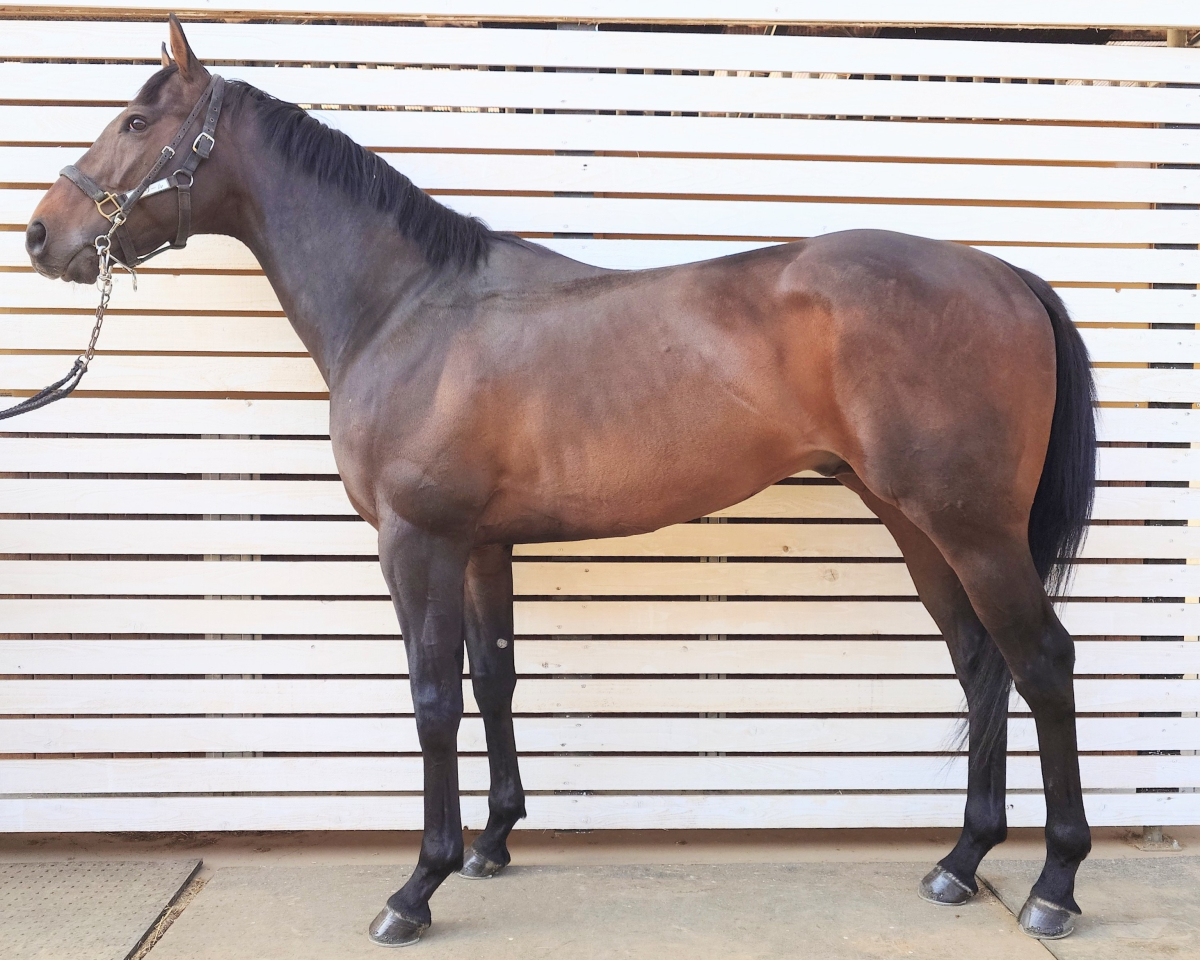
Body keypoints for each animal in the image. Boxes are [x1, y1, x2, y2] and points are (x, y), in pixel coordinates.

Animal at [25, 16, 1096, 946]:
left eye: (135, 122)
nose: (41, 235)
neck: (408, 308)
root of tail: (1004, 275)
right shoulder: (479, 545)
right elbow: (494, 677)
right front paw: (494, 841)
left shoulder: (414, 543)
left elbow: (433, 699)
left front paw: (417, 887)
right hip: (917, 522)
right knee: (981, 664)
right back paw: (960, 861)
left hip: (970, 527)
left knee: (1042, 662)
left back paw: (1052, 883)